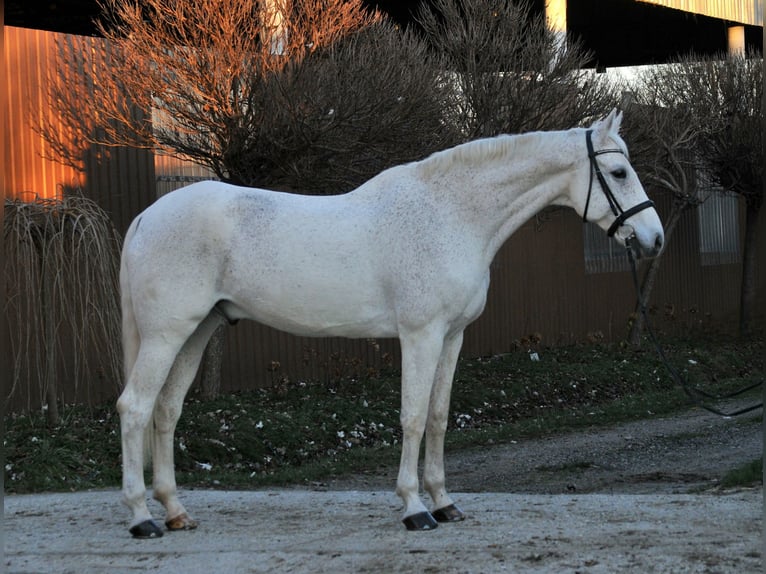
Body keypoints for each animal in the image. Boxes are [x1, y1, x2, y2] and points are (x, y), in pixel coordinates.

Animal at [117, 109, 664, 538]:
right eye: (618, 172)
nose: (654, 237)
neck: (450, 215)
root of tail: (147, 217)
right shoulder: (420, 336)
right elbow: (413, 417)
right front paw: (415, 508)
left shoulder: (452, 337)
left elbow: (440, 417)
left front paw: (445, 503)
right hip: (166, 335)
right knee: (135, 408)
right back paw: (142, 518)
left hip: (196, 332)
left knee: (166, 412)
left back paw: (176, 512)